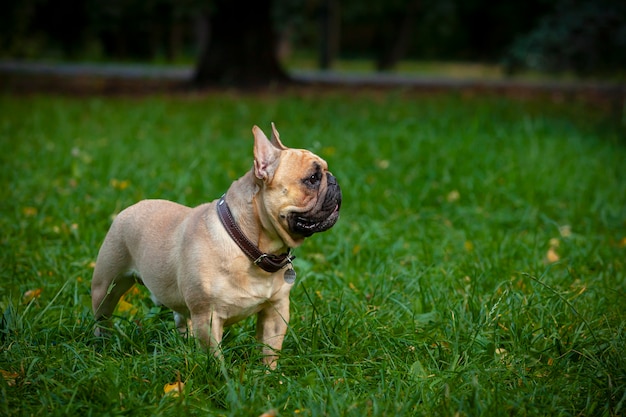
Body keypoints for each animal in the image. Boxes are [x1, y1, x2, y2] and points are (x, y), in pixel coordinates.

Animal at [90, 123, 338, 368]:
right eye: (312, 178)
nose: (334, 180)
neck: (248, 244)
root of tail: (131, 207)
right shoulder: (208, 317)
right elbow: (215, 357)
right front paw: (222, 375)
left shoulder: (276, 309)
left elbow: (270, 349)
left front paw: (270, 375)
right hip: (106, 285)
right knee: (102, 315)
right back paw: (101, 343)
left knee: (181, 318)